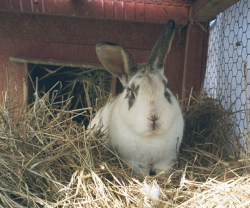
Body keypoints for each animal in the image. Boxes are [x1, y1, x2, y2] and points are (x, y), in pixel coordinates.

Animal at [88, 19, 184, 176]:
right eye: (131, 92)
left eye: (166, 89)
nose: (154, 117)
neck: (151, 137)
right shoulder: (134, 162)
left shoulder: (166, 160)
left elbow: (163, 172)